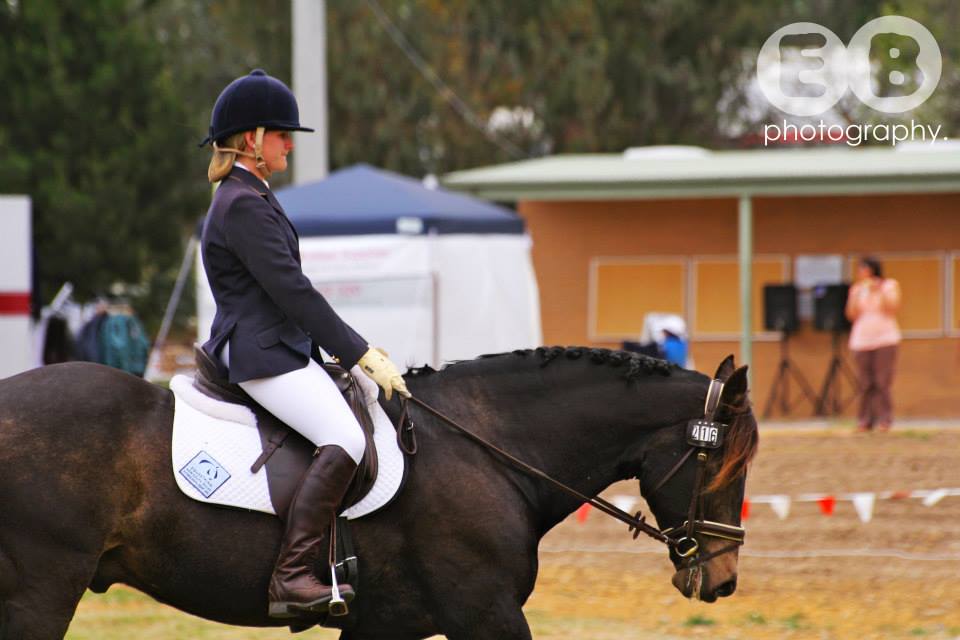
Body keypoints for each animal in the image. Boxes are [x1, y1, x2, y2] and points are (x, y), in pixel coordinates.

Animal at [0, 347, 757, 640]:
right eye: (724, 466)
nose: (721, 580)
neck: (489, 446)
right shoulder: (487, 613)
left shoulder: (382, 622)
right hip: (41, 592)